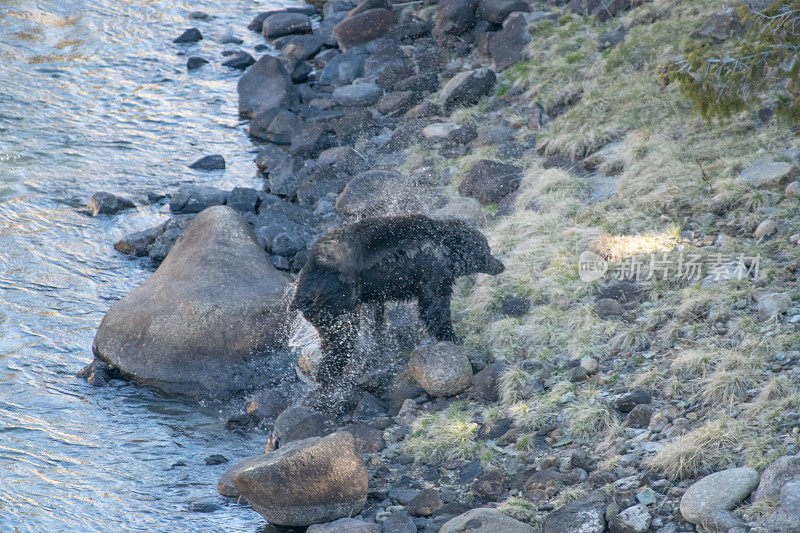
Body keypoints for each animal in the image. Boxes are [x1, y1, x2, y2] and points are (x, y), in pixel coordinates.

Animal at [290, 214, 504, 384]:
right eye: (485, 250)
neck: (444, 249)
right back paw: (331, 374)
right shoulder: (430, 271)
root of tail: (300, 293)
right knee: (340, 335)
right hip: (335, 299)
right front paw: (453, 336)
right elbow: (434, 306)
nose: (500, 265)